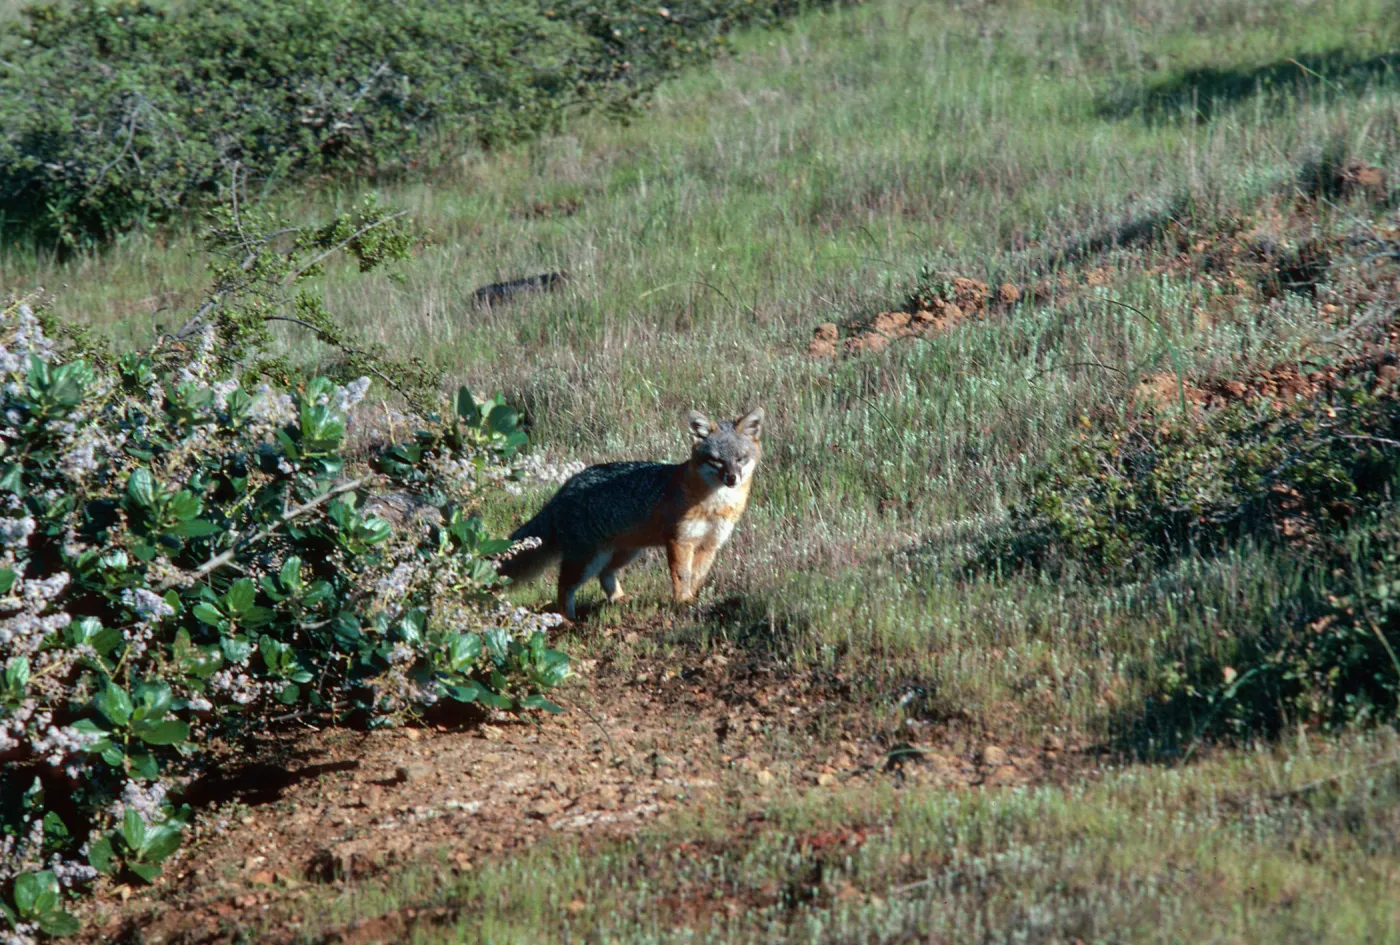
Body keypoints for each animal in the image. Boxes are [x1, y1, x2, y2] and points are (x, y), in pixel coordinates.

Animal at [498, 407, 764, 620]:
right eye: (716, 460)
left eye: (740, 459)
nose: (732, 478)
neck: (714, 505)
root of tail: (567, 485)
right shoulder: (679, 541)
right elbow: (682, 575)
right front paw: (682, 601)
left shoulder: (709, 545)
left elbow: (696, 576)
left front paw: (691, 599)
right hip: (589, 559)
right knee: (564, 586)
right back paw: (568, 620)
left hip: (625, 553)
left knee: (605, 575)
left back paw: (618, 599)